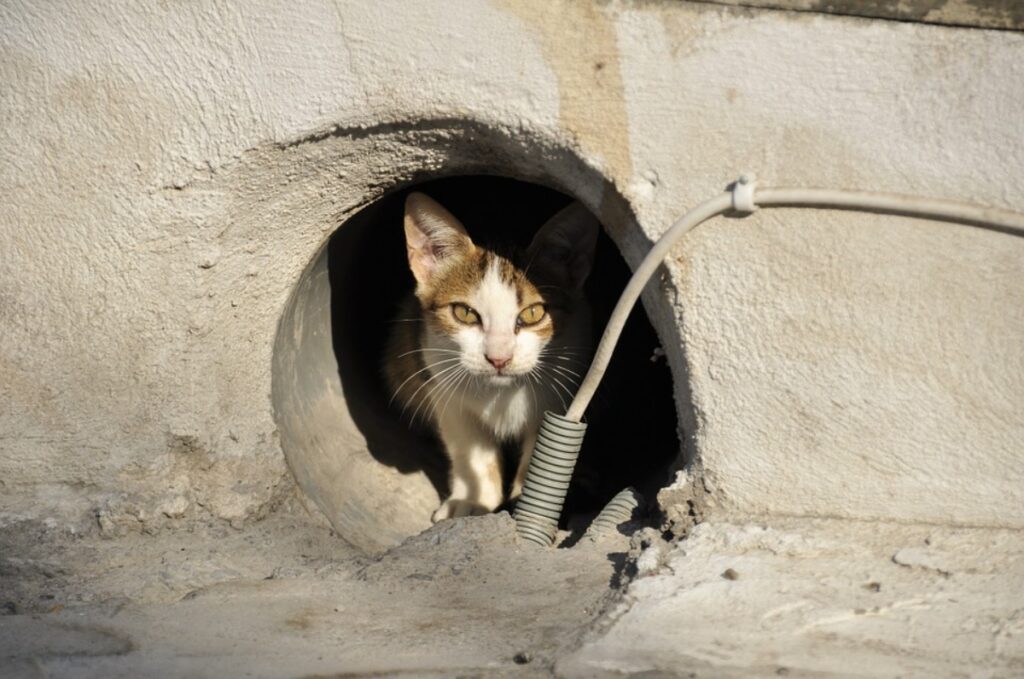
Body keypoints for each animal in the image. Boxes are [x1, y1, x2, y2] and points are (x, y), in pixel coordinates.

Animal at [385, 193, 598, 522]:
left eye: (534, 313)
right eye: (464, 313)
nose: (498, 358)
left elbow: (545, 446)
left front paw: (529, 501)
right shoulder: (438, 380)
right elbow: (470, 447)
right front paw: (473, 499)